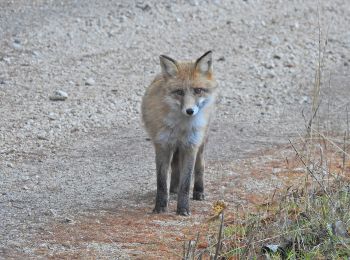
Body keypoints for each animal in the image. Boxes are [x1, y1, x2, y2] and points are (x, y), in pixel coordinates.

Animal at [141, 50, 217, 215]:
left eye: (198, 90)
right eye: (179, 92)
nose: (190, 111)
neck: (181, 127)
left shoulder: (190, 146)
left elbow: (186, 182)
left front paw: (183, 209)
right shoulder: (162, 145)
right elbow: (161, 182)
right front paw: (160, 206)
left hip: (201, 143)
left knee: (200, 167)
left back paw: (198, 191)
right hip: (174, 147)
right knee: (175, 168)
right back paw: (173, 189)